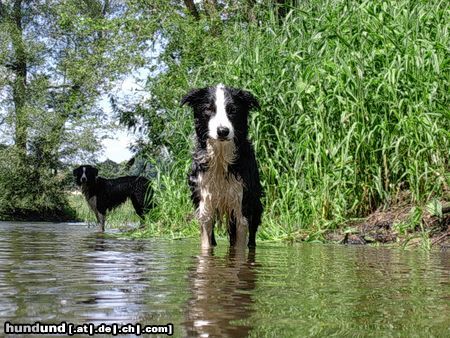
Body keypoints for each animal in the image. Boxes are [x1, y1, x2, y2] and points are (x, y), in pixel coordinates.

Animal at [180, 84, 262, 248]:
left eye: (233, 110)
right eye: (209, 109)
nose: (222, 131)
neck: (220, 157)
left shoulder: (242, 202)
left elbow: (239, 243)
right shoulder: (204, 199)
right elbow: (206, 241)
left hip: (255, 203)